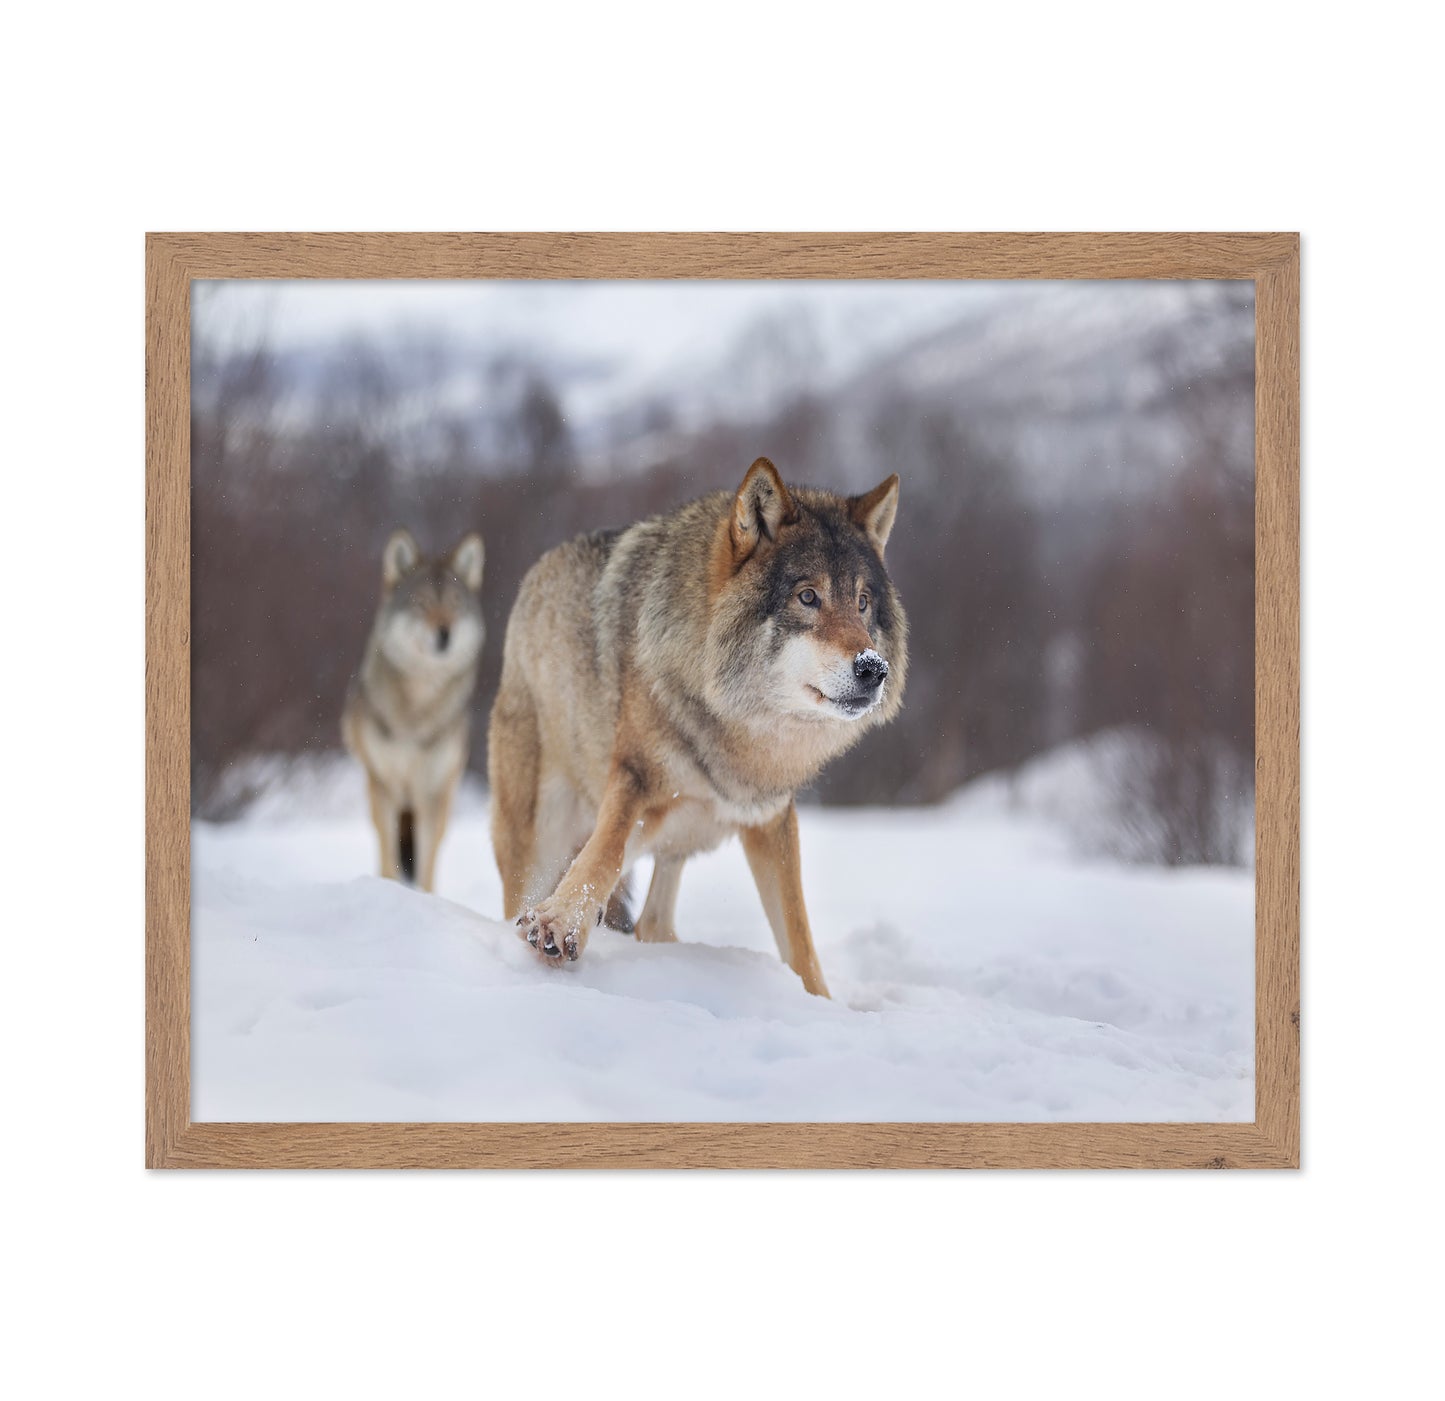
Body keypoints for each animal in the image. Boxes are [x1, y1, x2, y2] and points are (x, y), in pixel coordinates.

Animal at [342, 527, 485, 892]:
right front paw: (388, 890)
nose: (445, 634)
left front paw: (425, 899)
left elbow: (427, 865)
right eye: (422, 604)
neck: (417, 710)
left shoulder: (431, 792)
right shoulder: (385, 786)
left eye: (454, 604)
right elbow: (389, 855)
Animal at [487, 457, 906, 997]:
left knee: (652, 922)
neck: (738, 727)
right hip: (541, 836)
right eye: (808, 597)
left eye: (862, 602)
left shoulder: (770, 817)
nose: (874, 669)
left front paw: (821, 1004)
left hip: (672, 839)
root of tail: (534, 579)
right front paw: (559, 922)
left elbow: (799, 939)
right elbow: (603, 853)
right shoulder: (635, 777)